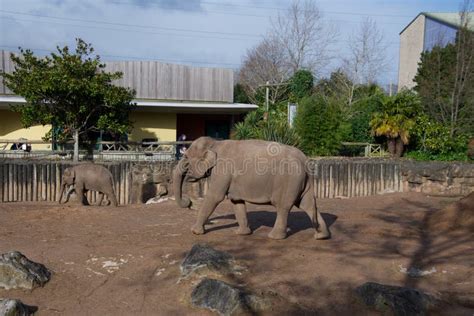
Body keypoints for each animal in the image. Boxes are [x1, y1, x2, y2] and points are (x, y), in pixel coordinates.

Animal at [173, 137, 330, 241]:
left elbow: (215, 197)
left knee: (283, 206)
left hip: (288, 181)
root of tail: (305, 160)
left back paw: (274, 237)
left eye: (185, 157)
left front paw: (194, 232)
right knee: (308, 204)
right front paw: (241, 233)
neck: (214, 143)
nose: (189, 202)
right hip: (302, 183)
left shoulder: (222, 170)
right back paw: (321, 236)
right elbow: (237, 202)